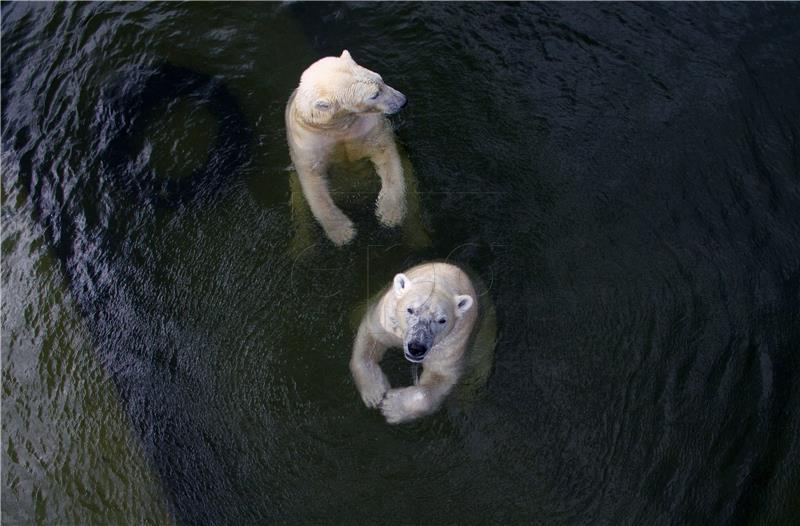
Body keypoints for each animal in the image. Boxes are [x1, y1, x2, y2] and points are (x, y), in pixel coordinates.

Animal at [348, 262, 476, 426]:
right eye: (410, 309)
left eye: (442, 320)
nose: (416, 348)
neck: (441, 280)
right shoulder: (387, 318)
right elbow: (372, 337)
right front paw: (375, 393)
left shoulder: (452, 342)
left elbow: (440, 376)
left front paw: (391, 406)